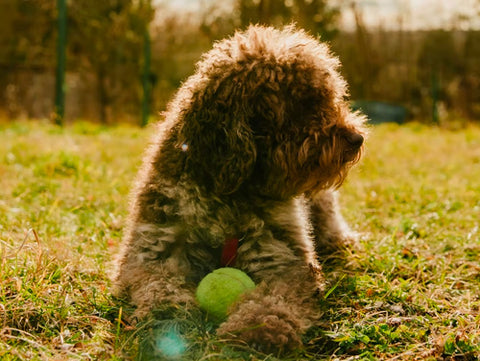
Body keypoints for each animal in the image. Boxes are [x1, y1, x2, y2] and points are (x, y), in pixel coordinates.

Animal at [113, 24, 368, 352]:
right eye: (305, 104)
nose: (357, 138)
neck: (228, 191)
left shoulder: (283, 260)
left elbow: (276, 298)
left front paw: (260, 326)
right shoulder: (152, 252)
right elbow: (159, 285)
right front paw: (167, 311)